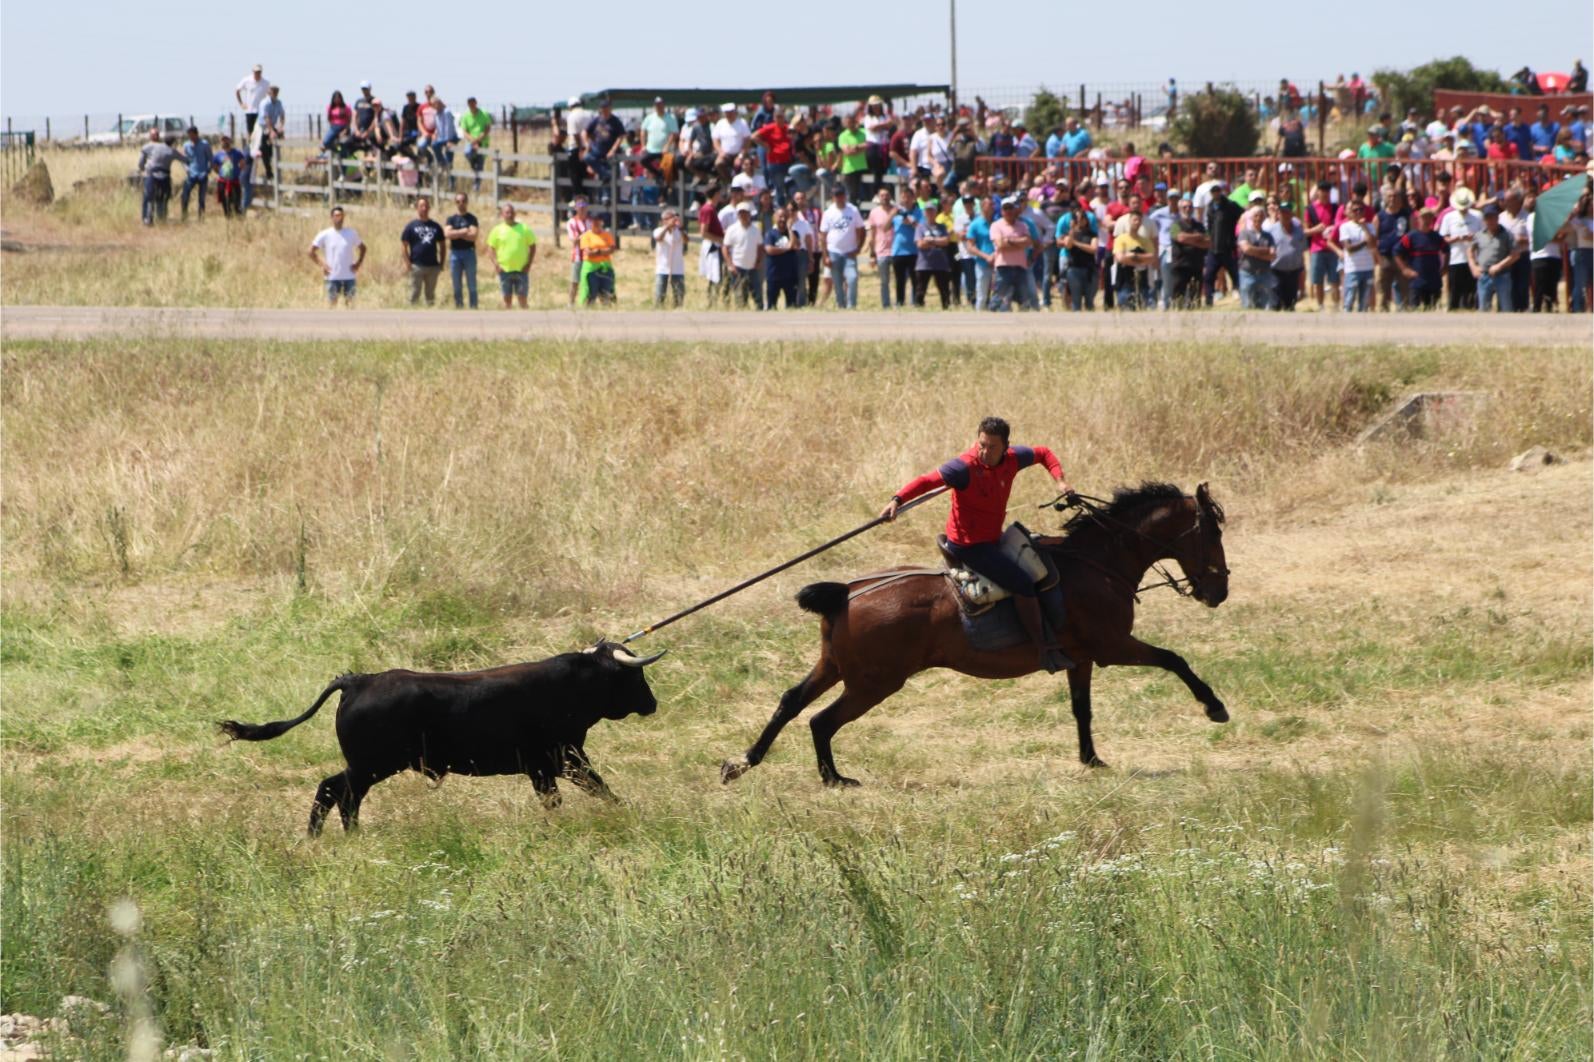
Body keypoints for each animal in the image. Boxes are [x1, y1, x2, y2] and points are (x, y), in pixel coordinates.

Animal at [218, 641, 659, 829]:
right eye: (635, 676)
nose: (652, 703)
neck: (570, 686)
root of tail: (359, 680)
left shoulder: (559, 763)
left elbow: (592, 790)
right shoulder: (555, 762)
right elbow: (578, 793)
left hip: (368, 766)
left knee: (335, 793)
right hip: (369, 766)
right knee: (337, 793)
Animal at [723, 481, 1230, 784]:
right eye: (1213, 534)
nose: (1220, 591)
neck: (1097, 562)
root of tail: (845, 593)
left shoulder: (1083, 657)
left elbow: (1081, 709)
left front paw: (1091, 759)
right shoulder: (1114, 646)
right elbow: (1174, 659)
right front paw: (1214, 707)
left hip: (834, 667)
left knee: (792, 702)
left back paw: (744, 762)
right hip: (873, 683)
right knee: (821, 720)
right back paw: (834, 779)